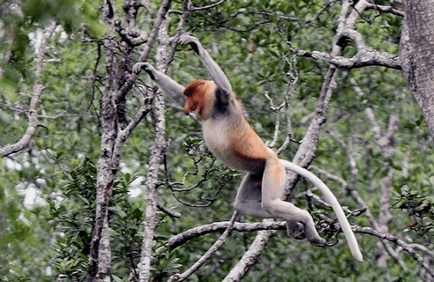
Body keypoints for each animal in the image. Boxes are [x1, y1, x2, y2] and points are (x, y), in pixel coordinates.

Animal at [133, 35, 362, 262]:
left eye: (192, 95)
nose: (187, 107)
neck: (212, 111)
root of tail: (273, 155)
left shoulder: (223, 101)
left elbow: (225, 88)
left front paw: (194, 44)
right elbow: (177, 94)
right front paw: (148, 69)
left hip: (272, 169)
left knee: (270, 204)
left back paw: (304, 220)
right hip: (257, 172)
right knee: (246, 205)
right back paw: (293, 223)